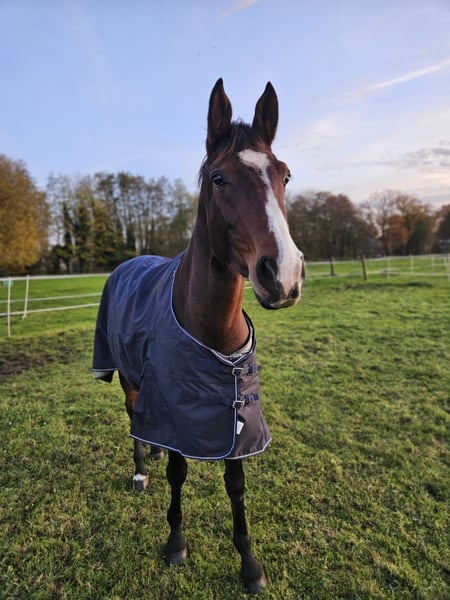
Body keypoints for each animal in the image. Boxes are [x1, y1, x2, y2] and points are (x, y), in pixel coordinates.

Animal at [93, 78, 305, 594]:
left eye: (284, 175)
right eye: (218, 178)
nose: (283, 275)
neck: (211, 328)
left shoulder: (236, 416)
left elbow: (236, 486)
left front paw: (250, 565)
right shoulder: (175, 410)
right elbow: (178, 469)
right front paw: (175, 544)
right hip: (126, 374)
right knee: (132, 416)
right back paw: (139, 470)